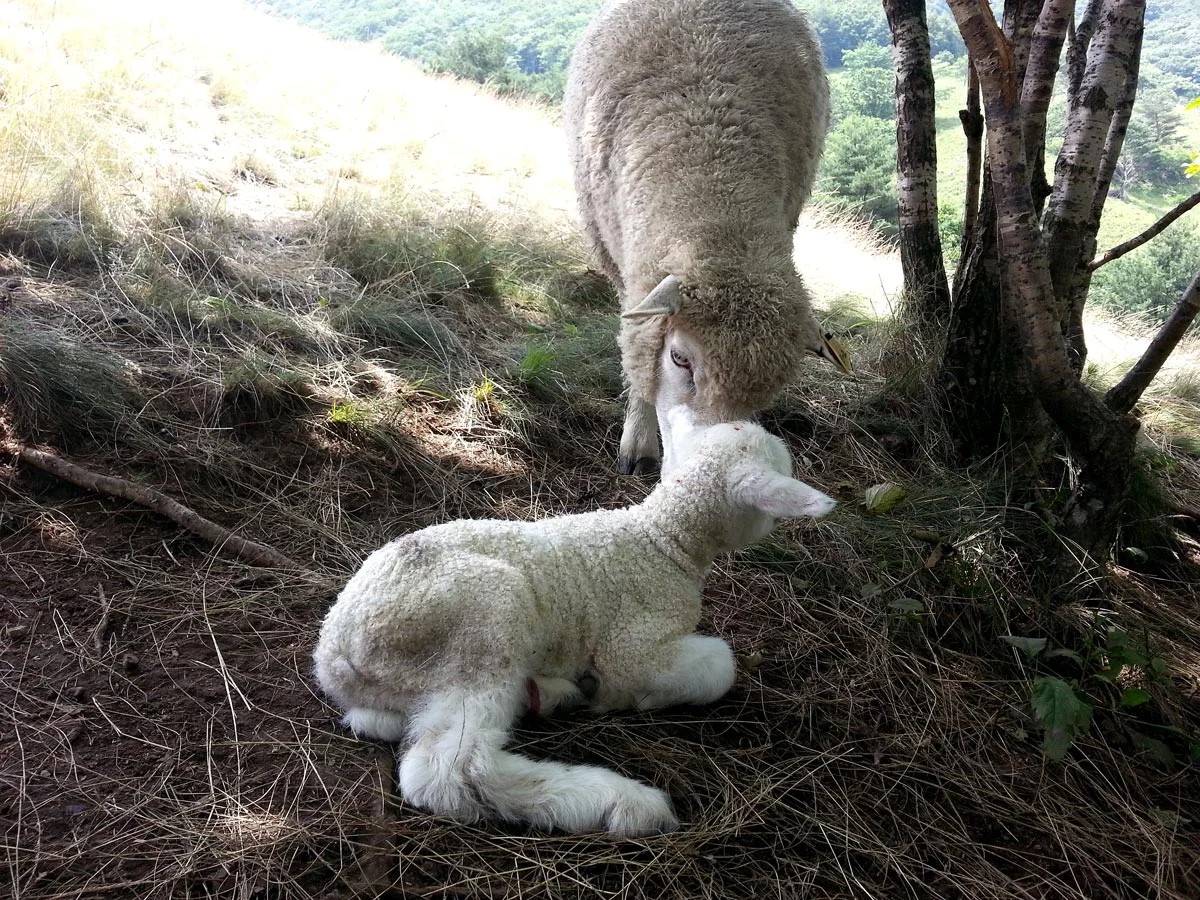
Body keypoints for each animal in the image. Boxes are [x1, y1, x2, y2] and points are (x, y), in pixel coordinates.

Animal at [312, 408, 835, 840]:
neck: (662, 541)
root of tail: (333, 657)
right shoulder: (632, 646)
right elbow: (717, 666)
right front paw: (631, 698)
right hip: (483, 622)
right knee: (449, 771)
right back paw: (621, 802)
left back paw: (551, 695)